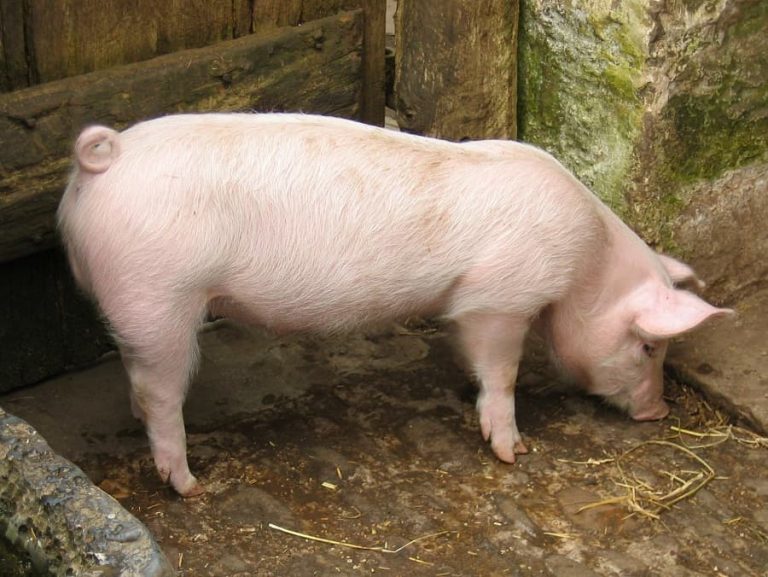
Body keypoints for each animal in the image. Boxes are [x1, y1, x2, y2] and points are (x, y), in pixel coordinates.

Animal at [57, 113, 732, 497]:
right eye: (649, 345)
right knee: (159, 392)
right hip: (158, 295)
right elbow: (504, 372)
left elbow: (475, 360)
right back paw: (190, 487)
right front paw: (513, 451)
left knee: (140, 379)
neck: (586, 265)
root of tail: (105, 158)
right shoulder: (501, 298)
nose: (658, 412)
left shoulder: (471, 306)